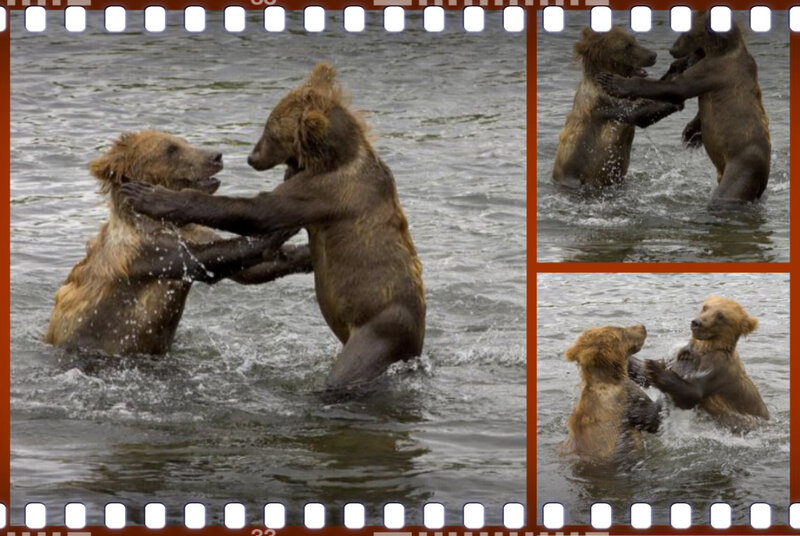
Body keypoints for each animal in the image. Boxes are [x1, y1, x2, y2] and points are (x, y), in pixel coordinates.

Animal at [45, 130, 311, 356]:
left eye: (184, 141)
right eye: (171, 149)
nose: (216, 155)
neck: (163, 224)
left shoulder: (194, 233)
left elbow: (251, 270)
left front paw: (305, 253)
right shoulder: (146, 252)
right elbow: (205, 260)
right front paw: (281, 229)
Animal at [119, 64, 426, 393]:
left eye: (270, 132)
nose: (251, 157)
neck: (331, 159)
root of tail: (415, 349)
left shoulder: (328, 191)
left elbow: (258, 210)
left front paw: (150, 196)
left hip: (380, 329)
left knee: (349, 369)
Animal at [552, 27, 683, 188]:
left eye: (634, 39)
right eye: (626, 46)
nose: (653, 55)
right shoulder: (604, 105)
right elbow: (638, 113)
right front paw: (674, 101)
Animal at [596, 11, 771, 206]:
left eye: (686, 33)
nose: (672, 49)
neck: (719, 50)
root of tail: (764, 176)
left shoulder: (714, 70)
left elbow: (678, 87)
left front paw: (613, 82)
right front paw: (691, 135)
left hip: (742, 167)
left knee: (728, 193)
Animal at [628, 296, 769, 432]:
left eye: (720, 316)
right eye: (705, 307)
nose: (697, 323)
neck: (704, 348)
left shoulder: (716, 369)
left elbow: (691, 393)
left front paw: (653, 367)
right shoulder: (678, 357)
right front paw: (634, 362)